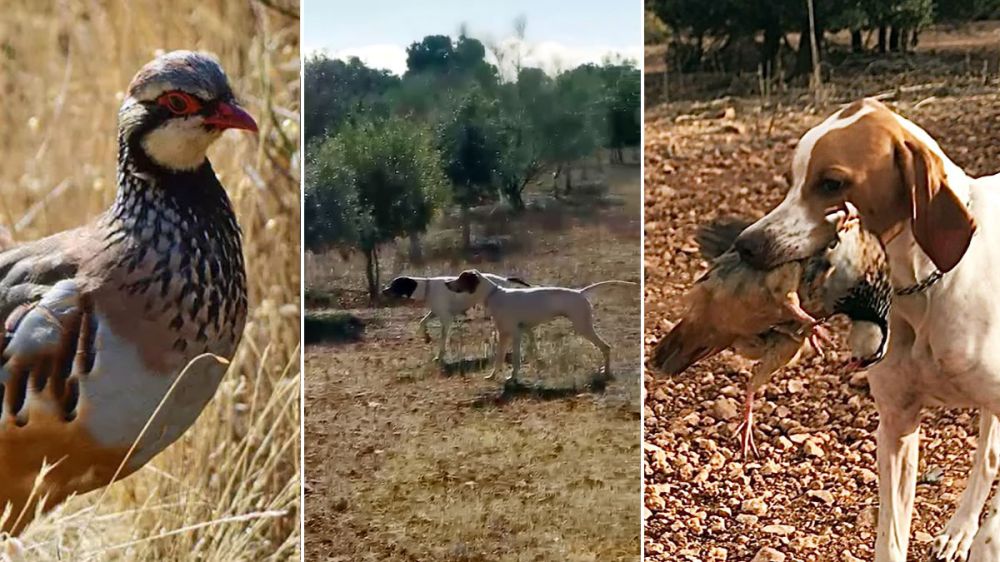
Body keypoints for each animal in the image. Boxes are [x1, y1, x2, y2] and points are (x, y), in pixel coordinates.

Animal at [444, 268, 632, 380]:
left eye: (461, 278)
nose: (446, 283)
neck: (494, 294)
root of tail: (580, 292)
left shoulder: (513, 334)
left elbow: (513, 359)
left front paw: (512, 378)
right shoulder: (510, 333)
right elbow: (501, 358)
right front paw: (492, 376)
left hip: (583, 327)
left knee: (606, 347)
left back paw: (605, 372)